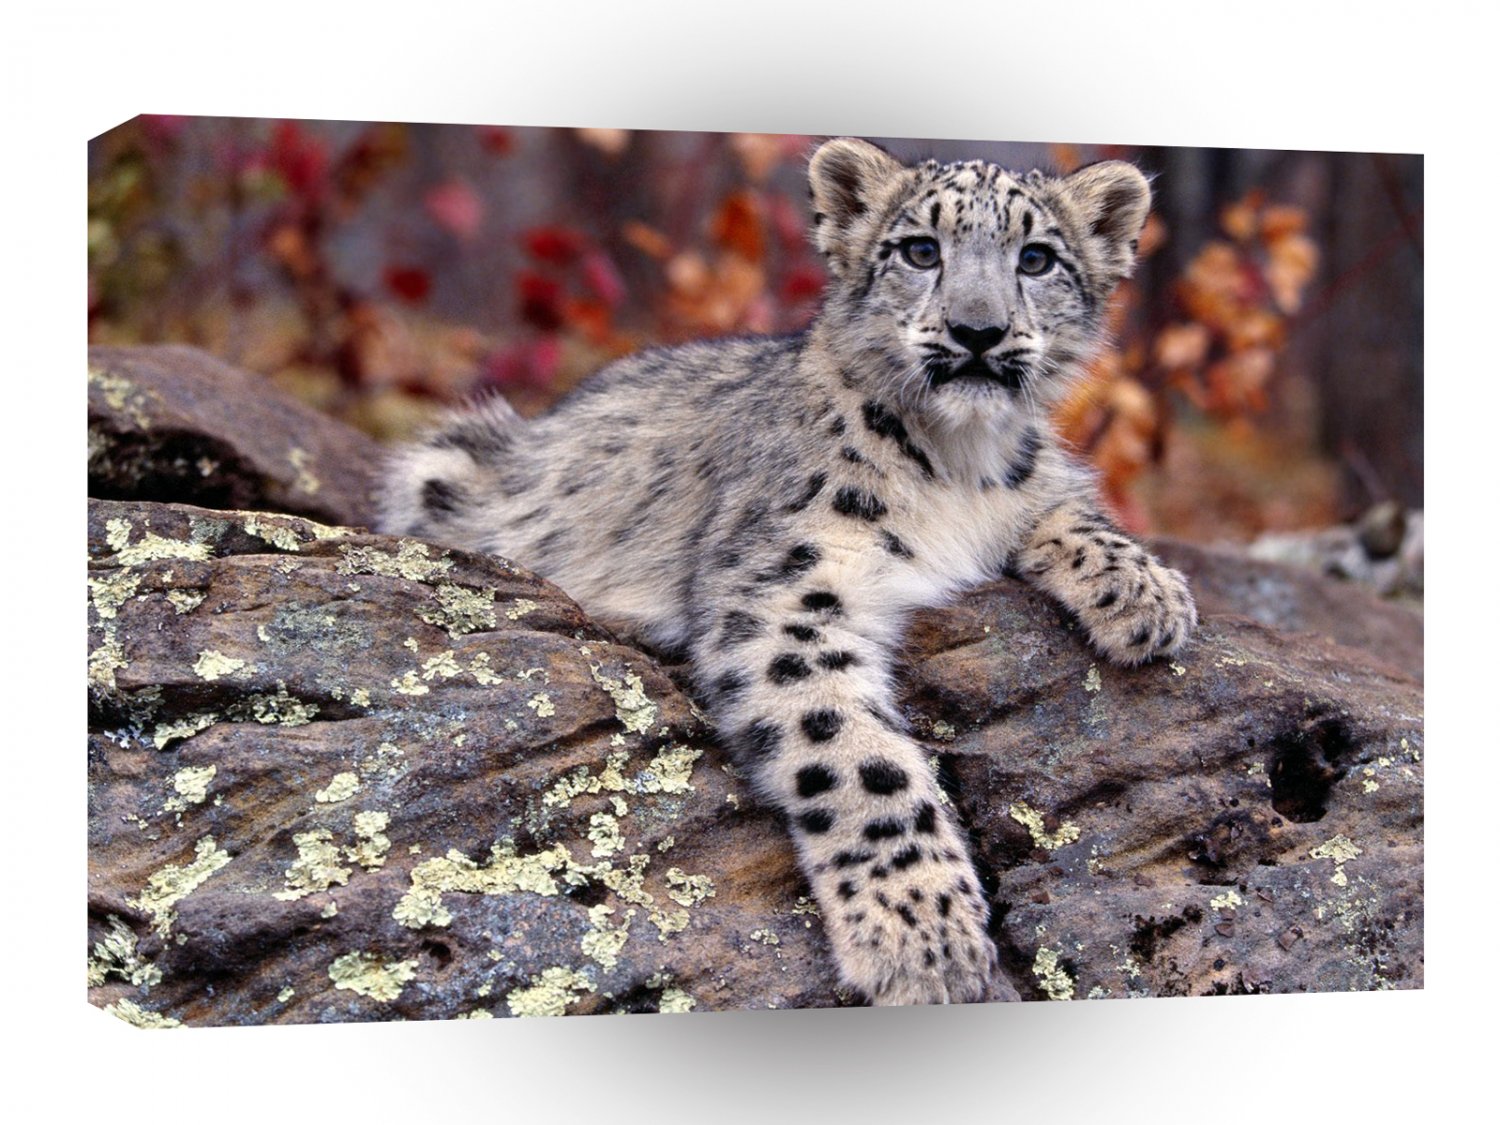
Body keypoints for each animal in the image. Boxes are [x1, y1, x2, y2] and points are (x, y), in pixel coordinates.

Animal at [378, 137, 1197, 1006]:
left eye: (1037, 258)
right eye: (920, 250)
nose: (978, 330)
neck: (957, 463)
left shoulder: (1031, 485)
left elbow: (1067, 504)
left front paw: (1147, 595)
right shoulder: (784, 592)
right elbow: (861, 762)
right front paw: (925, 937)